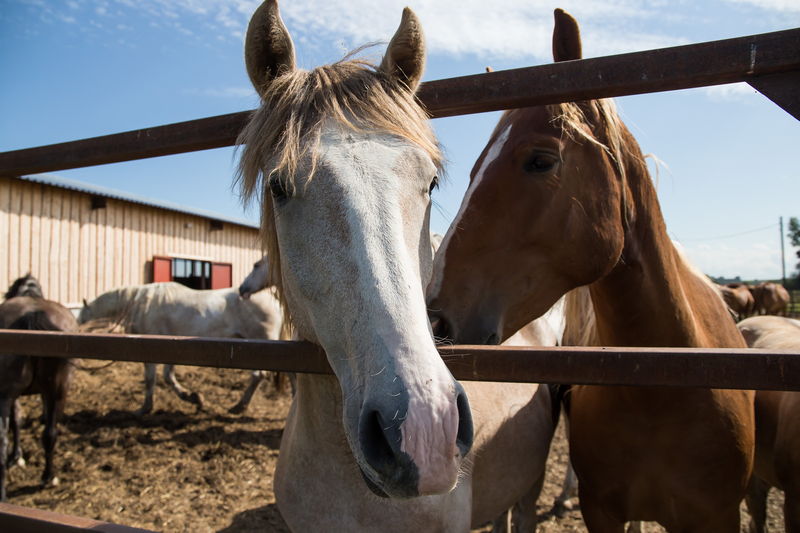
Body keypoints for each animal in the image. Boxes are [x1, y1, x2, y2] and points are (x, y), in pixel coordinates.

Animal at [0, 274, 77, 501]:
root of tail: (33, 314)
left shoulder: (11, 395)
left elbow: (16, 421)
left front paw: (16, 457)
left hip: (5, 396)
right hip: (58, 391)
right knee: (50, 434)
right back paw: (48, 477)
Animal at [78, 281, 283, 415]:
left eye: (81, 317)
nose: (77, 328)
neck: (138, 303)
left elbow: (152, 379)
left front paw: (146, 407)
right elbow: (167, 377)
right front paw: (194, 398)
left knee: (258, 376)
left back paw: (239, 406)